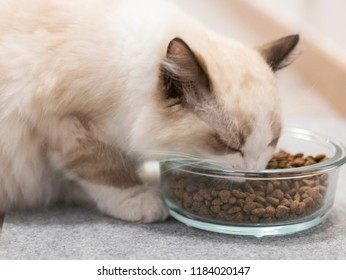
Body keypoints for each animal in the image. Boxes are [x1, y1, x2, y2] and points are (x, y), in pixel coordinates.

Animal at [0, 0, 298, 223]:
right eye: (229, 146)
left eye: (272, 142)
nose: (254, 174)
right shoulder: (67, 124)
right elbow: (102, 170)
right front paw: (139, 199)